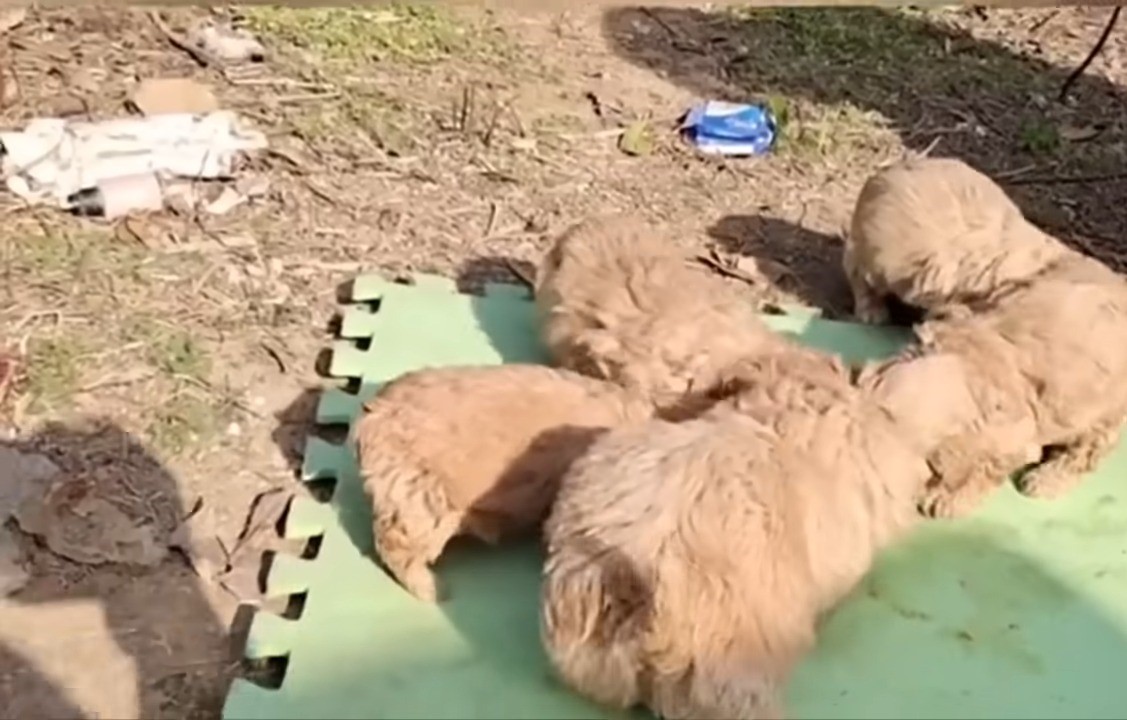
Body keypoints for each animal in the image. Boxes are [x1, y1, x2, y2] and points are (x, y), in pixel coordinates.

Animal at [910, 253, 1127, 518]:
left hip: (1107, 405)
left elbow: (985, 467)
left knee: (1088, 446)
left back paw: (1045, 481)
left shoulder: (1011, 433)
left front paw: (947, 499)